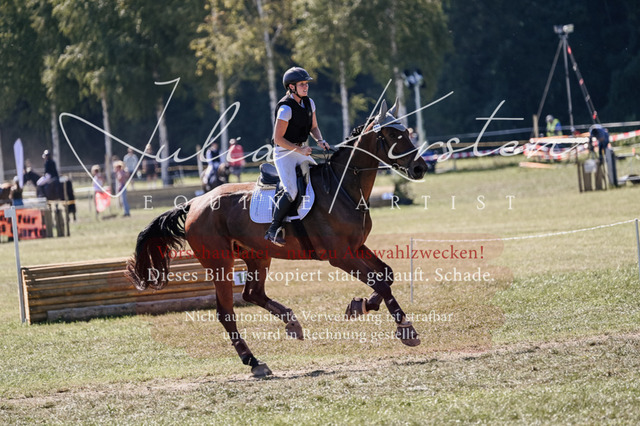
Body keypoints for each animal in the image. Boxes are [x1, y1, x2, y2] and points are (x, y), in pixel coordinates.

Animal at [126, 100, 428, 377]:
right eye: (393, 136)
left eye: (407, 132)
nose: (420, 169)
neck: (343, 188)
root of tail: (194, 203)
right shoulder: (340, 255)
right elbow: (380, 282)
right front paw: (406, 329)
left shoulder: (356, 247)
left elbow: (386, 275)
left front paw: (360, 306)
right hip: (221, 264)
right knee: (226, 311)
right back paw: (253, 361)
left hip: (257, 256)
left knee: (252, 293)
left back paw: (291, 323)